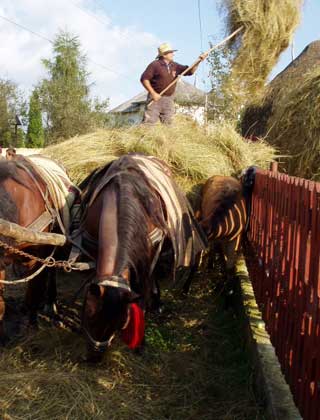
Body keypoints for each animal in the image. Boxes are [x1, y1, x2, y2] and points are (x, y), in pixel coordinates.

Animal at [79, 154, 206, 360]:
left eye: (118, 323)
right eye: (89, 316)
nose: (94, 358)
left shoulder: (149, 254)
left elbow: (144, 292)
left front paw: (141, 342)